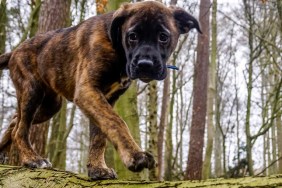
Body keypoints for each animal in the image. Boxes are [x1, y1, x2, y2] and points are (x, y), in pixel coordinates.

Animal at [0, 1, 200, 181]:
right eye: (132, 36)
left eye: (163, 37)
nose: (145, 65)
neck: (118, 48)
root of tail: (14, 51)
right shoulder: (88, 91)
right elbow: (116, 122)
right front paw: (134, 155)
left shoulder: (105, 98)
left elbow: (99, 136)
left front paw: (97, 169)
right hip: (32, 92)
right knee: (20, 129)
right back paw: (32, 159)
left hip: (50, 105)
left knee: (15, 120)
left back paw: (3, 152)